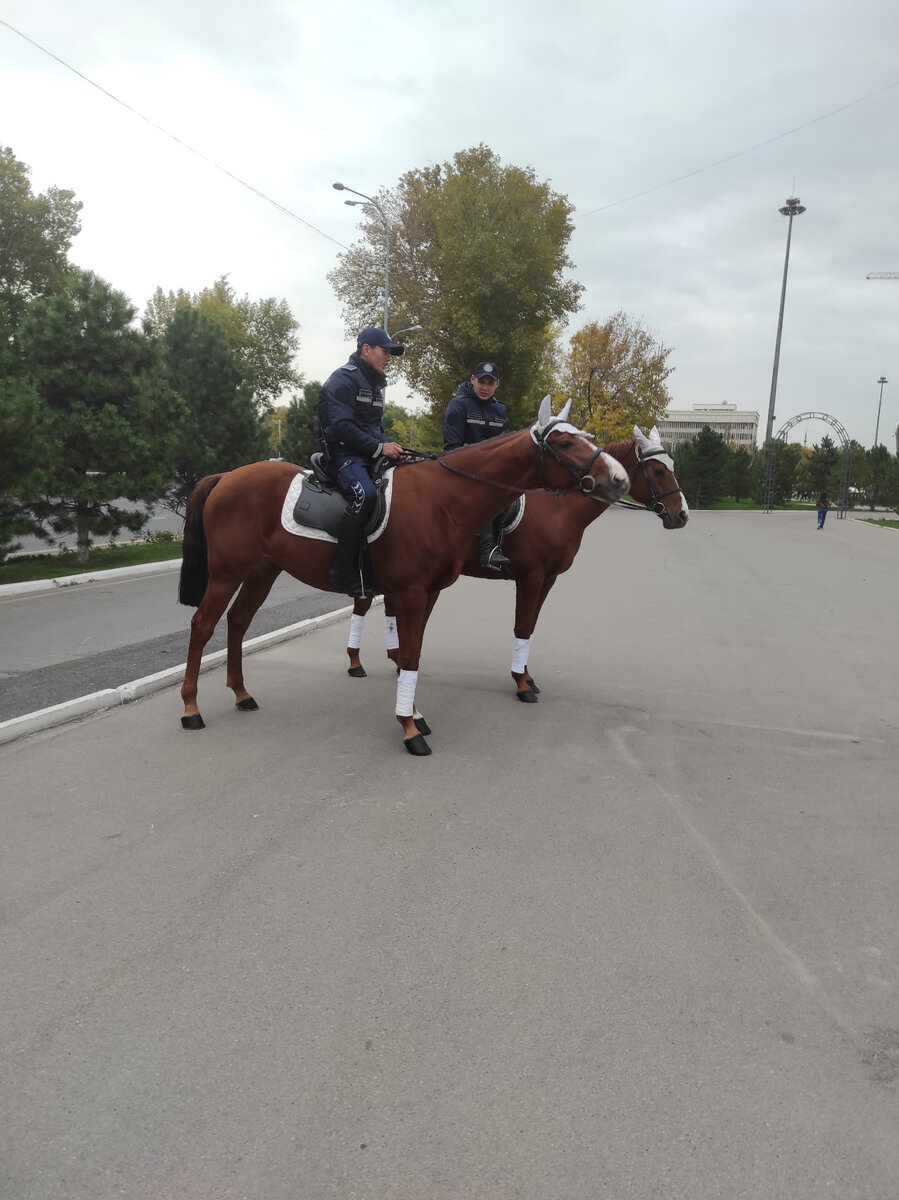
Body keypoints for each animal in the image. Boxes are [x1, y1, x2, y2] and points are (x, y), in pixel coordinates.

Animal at [175, 398, 624, 753]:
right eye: (565, 442)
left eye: (585, 436)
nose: (618, 478)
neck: (442, 500)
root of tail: (225, 476)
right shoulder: (413, 592)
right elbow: (410, 655)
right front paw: (410, 728)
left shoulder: (428, 593)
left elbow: (412, 653)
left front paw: (414, 714)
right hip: (227, 573)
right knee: (203, 625)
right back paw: (191, 707)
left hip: (262, 571)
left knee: (237, 621)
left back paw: (241, 693)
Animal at [345, 427, 686, 700]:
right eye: (658, 470)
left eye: (671, 467)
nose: (681, 514)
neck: (558, 509)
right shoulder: (531, 576)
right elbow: (522, 625)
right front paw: (522, 683)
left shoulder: (548, 578)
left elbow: (531, 626)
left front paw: (527, 676)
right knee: (362, 606)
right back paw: (356, 662)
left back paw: (393, 658)